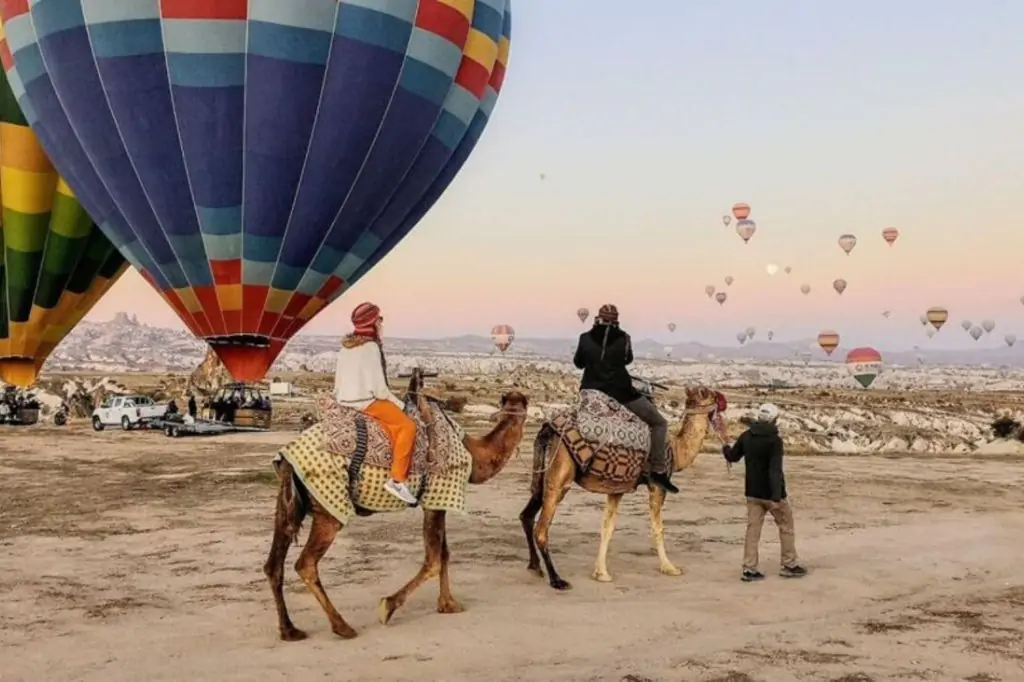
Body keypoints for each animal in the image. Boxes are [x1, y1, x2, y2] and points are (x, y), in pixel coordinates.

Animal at [260, 366, 532, 638]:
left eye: (519, 403)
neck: (473, 453)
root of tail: (287, 456)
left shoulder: (439, 501)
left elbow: (444, 554)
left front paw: (448, 604)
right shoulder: (437, 497)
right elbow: (434, 560)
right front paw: (388, 607)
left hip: (289, 503)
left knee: (274, 563)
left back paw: (289, 629)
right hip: (328, 505)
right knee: (306, 564)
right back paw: (342, 626)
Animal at [520, 385, 720, 585]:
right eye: (711, 394)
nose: (720, 400)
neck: (677, 449)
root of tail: (548, 430)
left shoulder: (617, 487)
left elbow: (607, 527)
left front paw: (601, 572)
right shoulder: (657, 485)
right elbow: (658, 527)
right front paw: (670, 567)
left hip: (542, 475)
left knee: (527, 515)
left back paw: (535, 566)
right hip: (561, 475)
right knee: (542, 528)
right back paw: (556, 580)